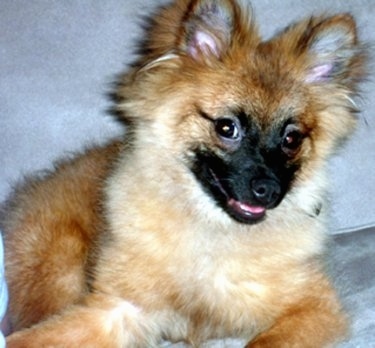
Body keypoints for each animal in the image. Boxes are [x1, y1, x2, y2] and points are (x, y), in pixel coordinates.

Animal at [1, 0, 368, 346]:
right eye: (226, 127)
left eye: (291, 139)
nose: (270, 190)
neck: (211, 229)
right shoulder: (118, 308)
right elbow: (33, 338)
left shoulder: (314, 308)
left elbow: (266, 342)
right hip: (59, 268)